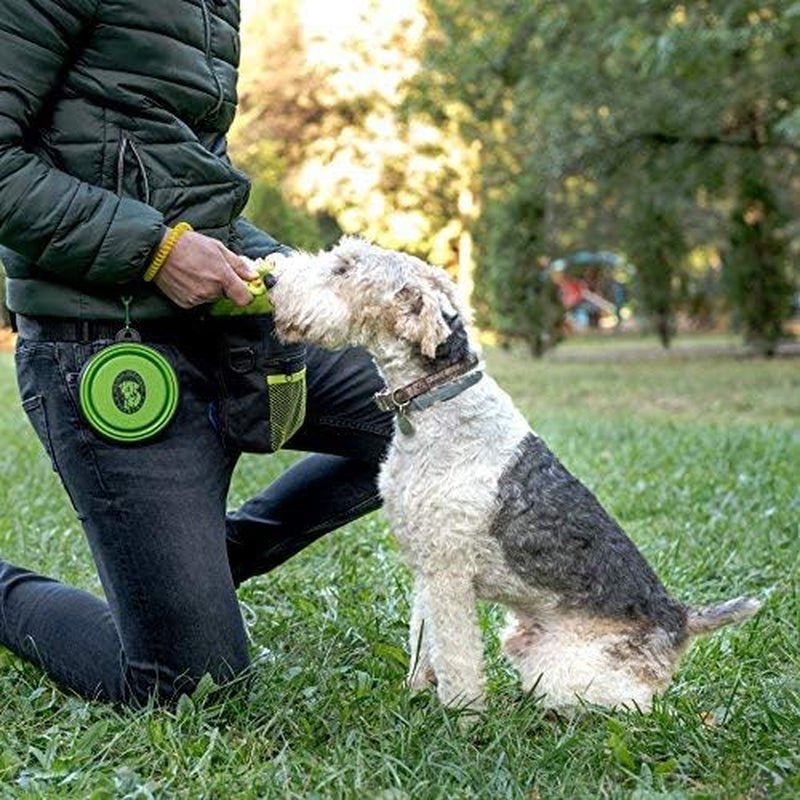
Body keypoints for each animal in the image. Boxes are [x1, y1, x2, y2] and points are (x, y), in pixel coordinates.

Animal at [266, 238, 760, 712]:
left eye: (344, 268)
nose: (270, 278)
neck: (437, 403)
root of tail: (679, 617)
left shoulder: (449, 573)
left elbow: (457, 658)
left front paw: (460, 718)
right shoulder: (428, 565)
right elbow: (424, 642)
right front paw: (414, 693)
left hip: (570, 671)